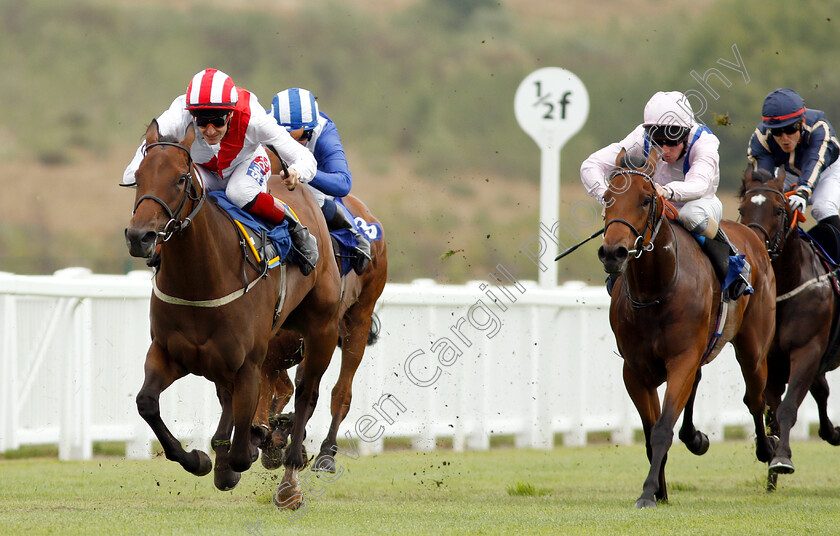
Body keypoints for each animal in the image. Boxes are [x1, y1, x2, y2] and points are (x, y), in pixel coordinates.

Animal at [124, 122, 342, 506]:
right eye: (138, 176)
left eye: (181, 178)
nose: (140, 236)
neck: (200, 281)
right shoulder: (168, 353)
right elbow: (147, 403)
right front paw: (198, 459)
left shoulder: (248, 364)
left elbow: (244, 447)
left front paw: (255, 445)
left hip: (322, 330)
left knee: (306, 394)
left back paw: (289, 478)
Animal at [256, 154, 388, 474]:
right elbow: (279, 390)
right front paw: (277, 436)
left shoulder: (306, 338)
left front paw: (281, 439)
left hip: (358, 320)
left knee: (341, 392)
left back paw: (326, 451)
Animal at [600, 150, 776, 506]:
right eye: (607, 197)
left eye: (646, 199)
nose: (614, 253)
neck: (654, 291)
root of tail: (752, 235)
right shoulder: (635, 370)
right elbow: (651, 431)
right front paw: (659, 490)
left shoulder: (682, 357)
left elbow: (662, 428)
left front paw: (648, 493)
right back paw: (695, 437)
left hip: (753, 348)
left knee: (754, 396)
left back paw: (767, 451)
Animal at [740, 165, 840, 488]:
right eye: (742, 209)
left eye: (779, 210)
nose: (755, 245)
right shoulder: (771, 360)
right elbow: (769, 409)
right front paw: (772, 461)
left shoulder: (807, 350)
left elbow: (787, 407)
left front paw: (782, 457)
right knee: (821, 391)